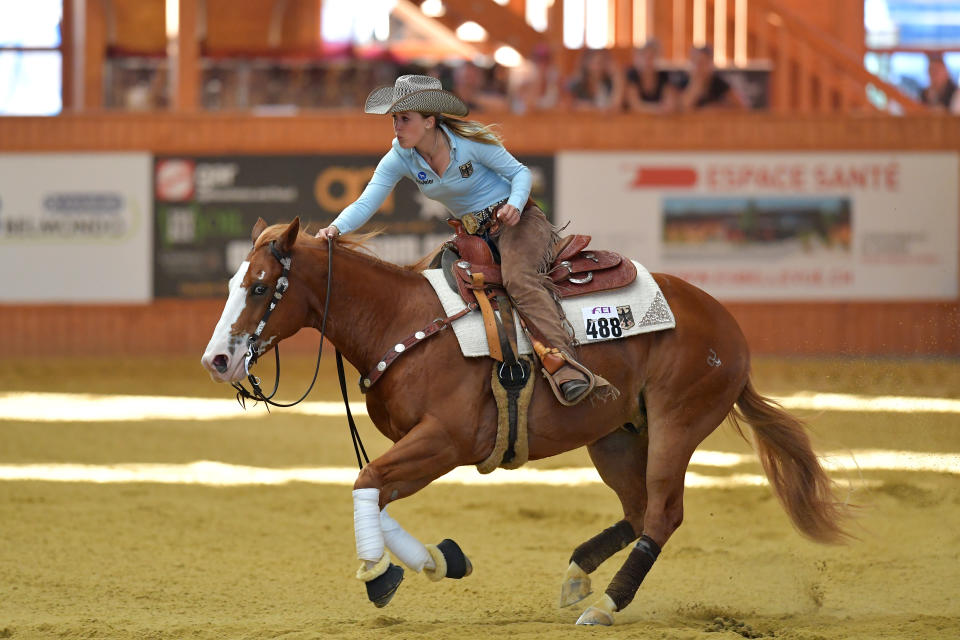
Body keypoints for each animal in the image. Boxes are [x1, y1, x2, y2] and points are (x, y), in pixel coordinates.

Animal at [202, 219, 848, 624]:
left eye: (260, 287)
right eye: (235, 282)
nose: (218, 360)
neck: (401, 320)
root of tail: (727, 327)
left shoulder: (445, 441)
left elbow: (366, 484)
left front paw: (382, 575)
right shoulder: (421, 446)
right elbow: (378, 494)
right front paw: (439, 559)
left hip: (677, 423)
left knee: (663, 514)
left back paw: (606, 606)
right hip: (615, 436)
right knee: (639, 510)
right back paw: (577, 577)